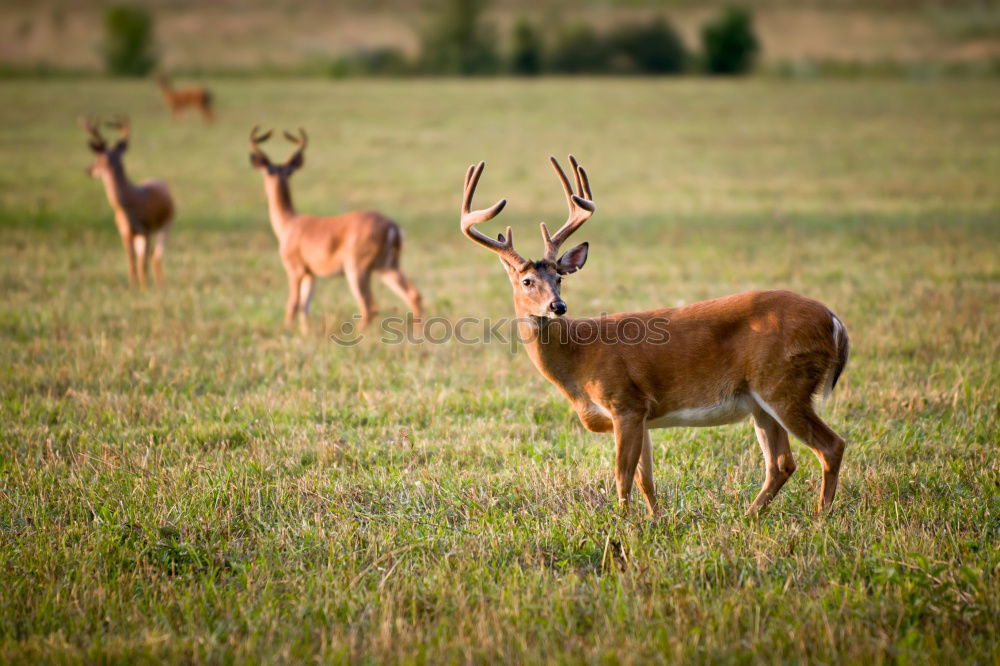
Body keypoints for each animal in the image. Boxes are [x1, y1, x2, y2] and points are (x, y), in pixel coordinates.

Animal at [83, 116, 176, 286]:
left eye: (99, 158)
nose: (88, 170)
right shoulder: (125, 232)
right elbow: (132, 260)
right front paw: (133, 286)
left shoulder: (146, 229)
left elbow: (143, 262)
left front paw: (144, 287)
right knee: (147, 257)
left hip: (165, 225)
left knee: (156, 256)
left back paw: (159, 283)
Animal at [252, 125, 424, 332]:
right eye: (272, 171)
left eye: (283, 172)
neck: (289, 223)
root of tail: (393, 227)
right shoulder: (311, 274)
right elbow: (305, 306)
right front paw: (305, 333)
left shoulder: (295, 268)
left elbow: (293, 303)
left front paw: (286, 331)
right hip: (387, 266)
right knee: (413, 295)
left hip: (356, 268)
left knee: (369, 307)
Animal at [460, 157, 852, 520]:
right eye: (527, 281)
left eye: (560, 277)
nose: (558, 306)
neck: (579, 357)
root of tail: (835, 321)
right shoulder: (642, 414)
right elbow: (646, 479)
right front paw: (655, 520)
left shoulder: (625, 402)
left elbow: (622, 476)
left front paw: (621, 524)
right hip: (761, 401)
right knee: (782, 462)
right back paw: (749, 516)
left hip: (784, 384)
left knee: (831, 446)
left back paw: (820, 517)